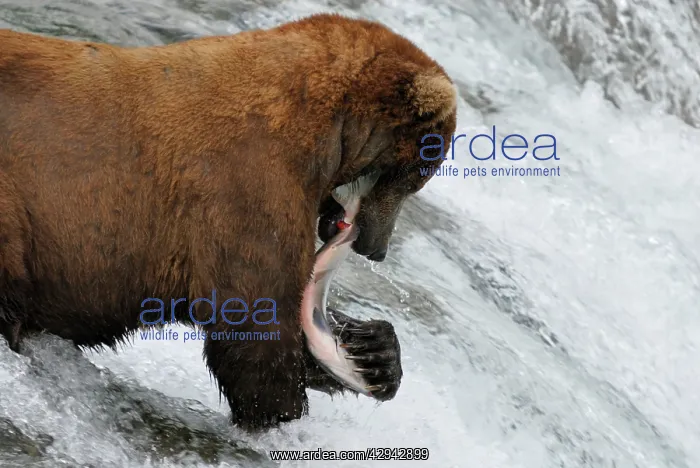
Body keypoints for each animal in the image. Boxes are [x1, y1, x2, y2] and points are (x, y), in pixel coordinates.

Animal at [0, 13, 457, 429]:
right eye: (414, 179)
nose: (376, 248)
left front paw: (377, 352)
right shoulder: (246, 189)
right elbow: (256, 323)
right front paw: (282, 415)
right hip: (17, 213)